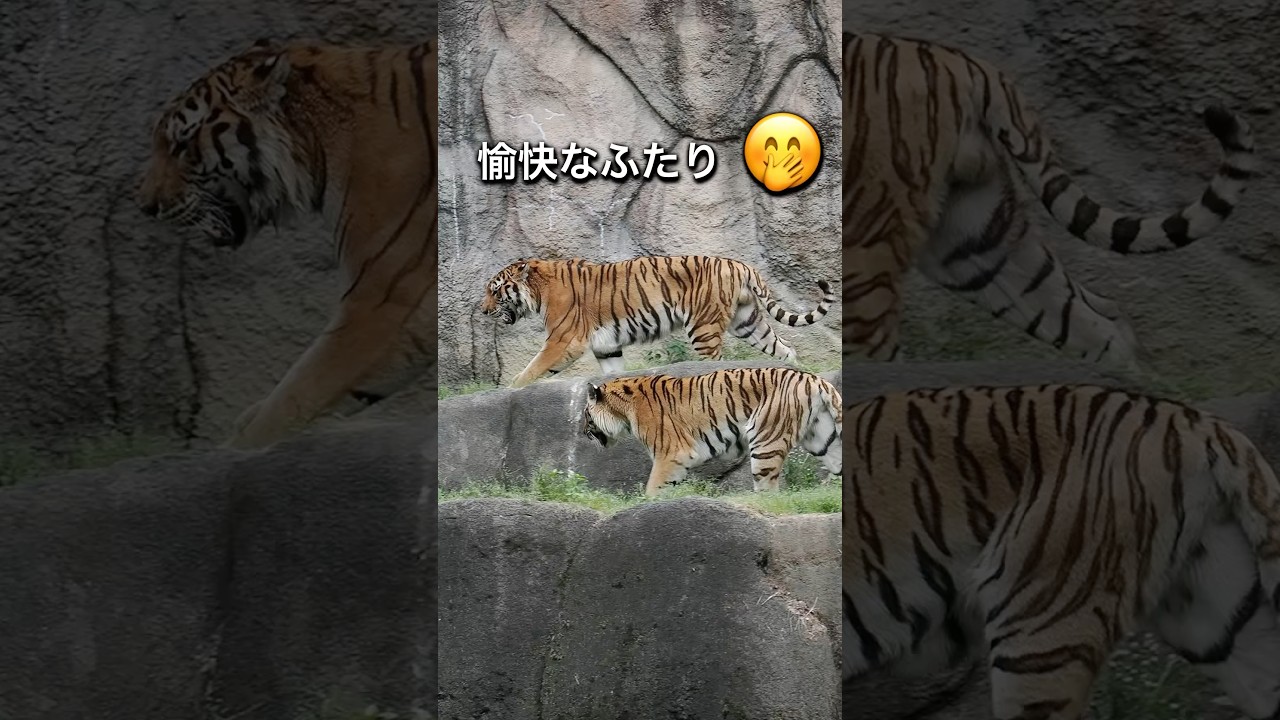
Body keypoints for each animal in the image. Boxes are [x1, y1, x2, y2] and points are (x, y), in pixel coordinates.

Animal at [480, 255, 835, 388]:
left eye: (495, 291)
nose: (482, 311)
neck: (539, 291)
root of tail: (742, 265)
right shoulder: (607, 346)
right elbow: (612, 373)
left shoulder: (563, 340)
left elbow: (533, 368)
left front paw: (510, 389)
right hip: (748, 323)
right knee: (785, 350)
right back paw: (800, 373)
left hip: (704, 328)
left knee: (716, 363)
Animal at [581, 367, 842, 497]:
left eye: (585, 415)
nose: (583, 433)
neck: (624, 411)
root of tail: (817, 380)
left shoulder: (671, 453)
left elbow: (653, 487)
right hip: (823, 439)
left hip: (765, 440)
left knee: (768, 489)